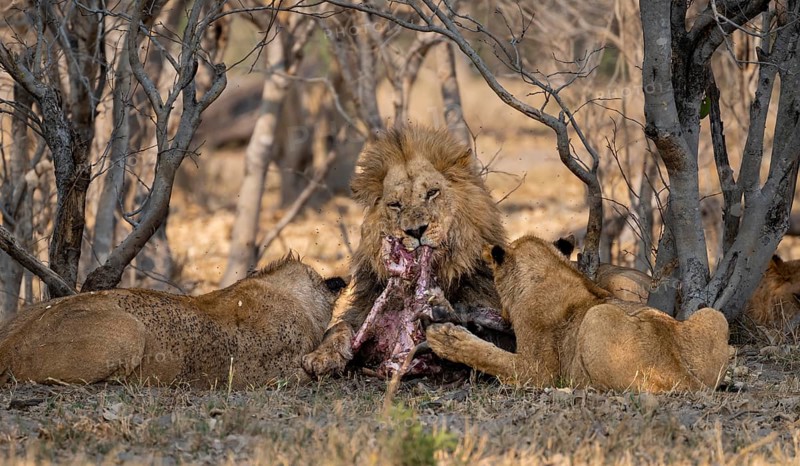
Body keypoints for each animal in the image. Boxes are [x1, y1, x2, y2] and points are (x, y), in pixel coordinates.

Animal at [302, 125, 507, 377]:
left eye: (432, 193)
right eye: (395, 205)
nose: (416, 231)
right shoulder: (364, 310)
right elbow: (339, 326)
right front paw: (321, 356)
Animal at [425, 235, 730, 392]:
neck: (550, 268)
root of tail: (687, 379)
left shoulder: (538, 371)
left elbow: (491, 355)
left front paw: (446, 338)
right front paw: (443, 307)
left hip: (596, 318)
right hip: (713, 316)